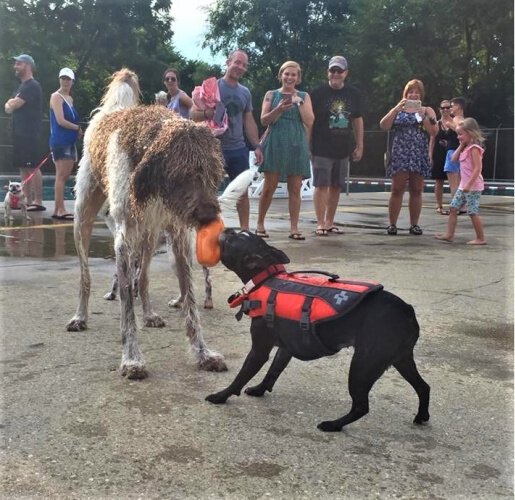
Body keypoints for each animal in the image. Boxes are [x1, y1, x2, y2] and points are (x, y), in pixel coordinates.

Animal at [207, 229, 432, 430]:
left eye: (233, 239)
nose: (227, 229)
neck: (265, 277)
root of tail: (406, 310)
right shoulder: (285, 348)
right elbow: (273, 371)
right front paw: (260, 389)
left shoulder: (259, 350)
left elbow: (241, 376)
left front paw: (221, 396)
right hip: (400, 359)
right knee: (423, 387)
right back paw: (421, 416)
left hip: (363, 366)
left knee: (361, 406)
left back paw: (333, 425)